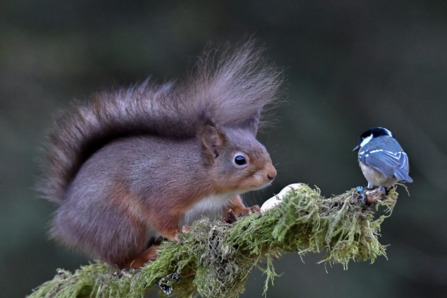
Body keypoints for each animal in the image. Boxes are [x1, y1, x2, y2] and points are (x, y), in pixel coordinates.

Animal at [39, 43, 284, 268]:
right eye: (240, 160)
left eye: (264, 149)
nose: (272, 174)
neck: (200, 173)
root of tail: (66, 212)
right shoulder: (162, 191)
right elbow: (160, 216)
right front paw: (177, 232)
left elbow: (233, 204)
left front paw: (245, 210)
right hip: (119, 224)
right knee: (119, 260)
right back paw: (143, 256)